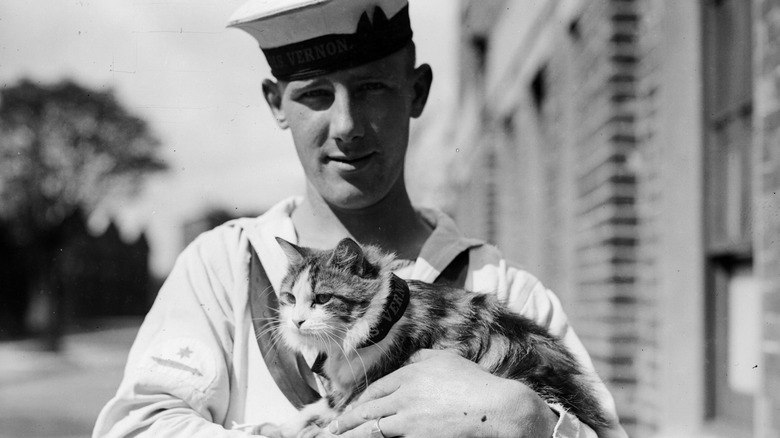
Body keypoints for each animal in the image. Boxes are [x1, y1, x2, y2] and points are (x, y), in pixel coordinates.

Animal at [258, 238, 612, 436]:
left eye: (322, 299)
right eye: (289, 298)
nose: (296, 321)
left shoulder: (364, 388)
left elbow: (333, 418)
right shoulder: (344, 389)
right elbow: (313, 408)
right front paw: (276, 429)